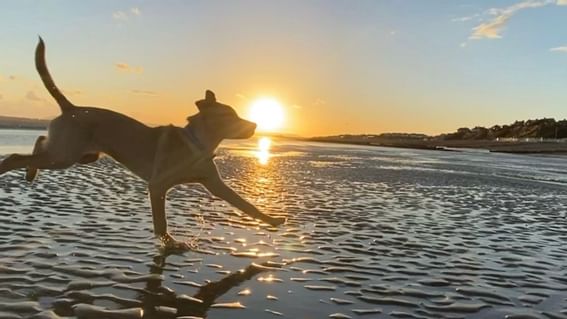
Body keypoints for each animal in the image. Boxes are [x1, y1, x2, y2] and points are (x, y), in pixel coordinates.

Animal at [0, 38, 284, 248]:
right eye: (230, 117)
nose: (255, 126)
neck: (197, 144)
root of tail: (71, 108)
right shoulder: (157, 186)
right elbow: (161, 222)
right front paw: (169, 243)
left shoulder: (216, 185)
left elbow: (246, 205)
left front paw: (272, 220)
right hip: (64, 157)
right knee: (16, 156)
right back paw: (11, 168)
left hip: (78, 155)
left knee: (39, 141)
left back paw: (30, 173)